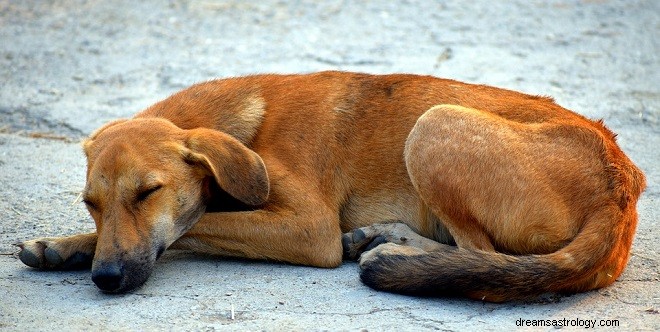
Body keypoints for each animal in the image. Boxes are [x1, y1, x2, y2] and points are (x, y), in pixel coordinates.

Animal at [15, 70, 644, 300]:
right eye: (91, 204)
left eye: (149, 193)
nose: (106, 279)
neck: (249, 125)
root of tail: (622, 186)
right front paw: (63, 246)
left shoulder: (310, 229)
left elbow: (196, 224)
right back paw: (388, 237)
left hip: (433, 125)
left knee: (485, 259)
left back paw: (399, 254)